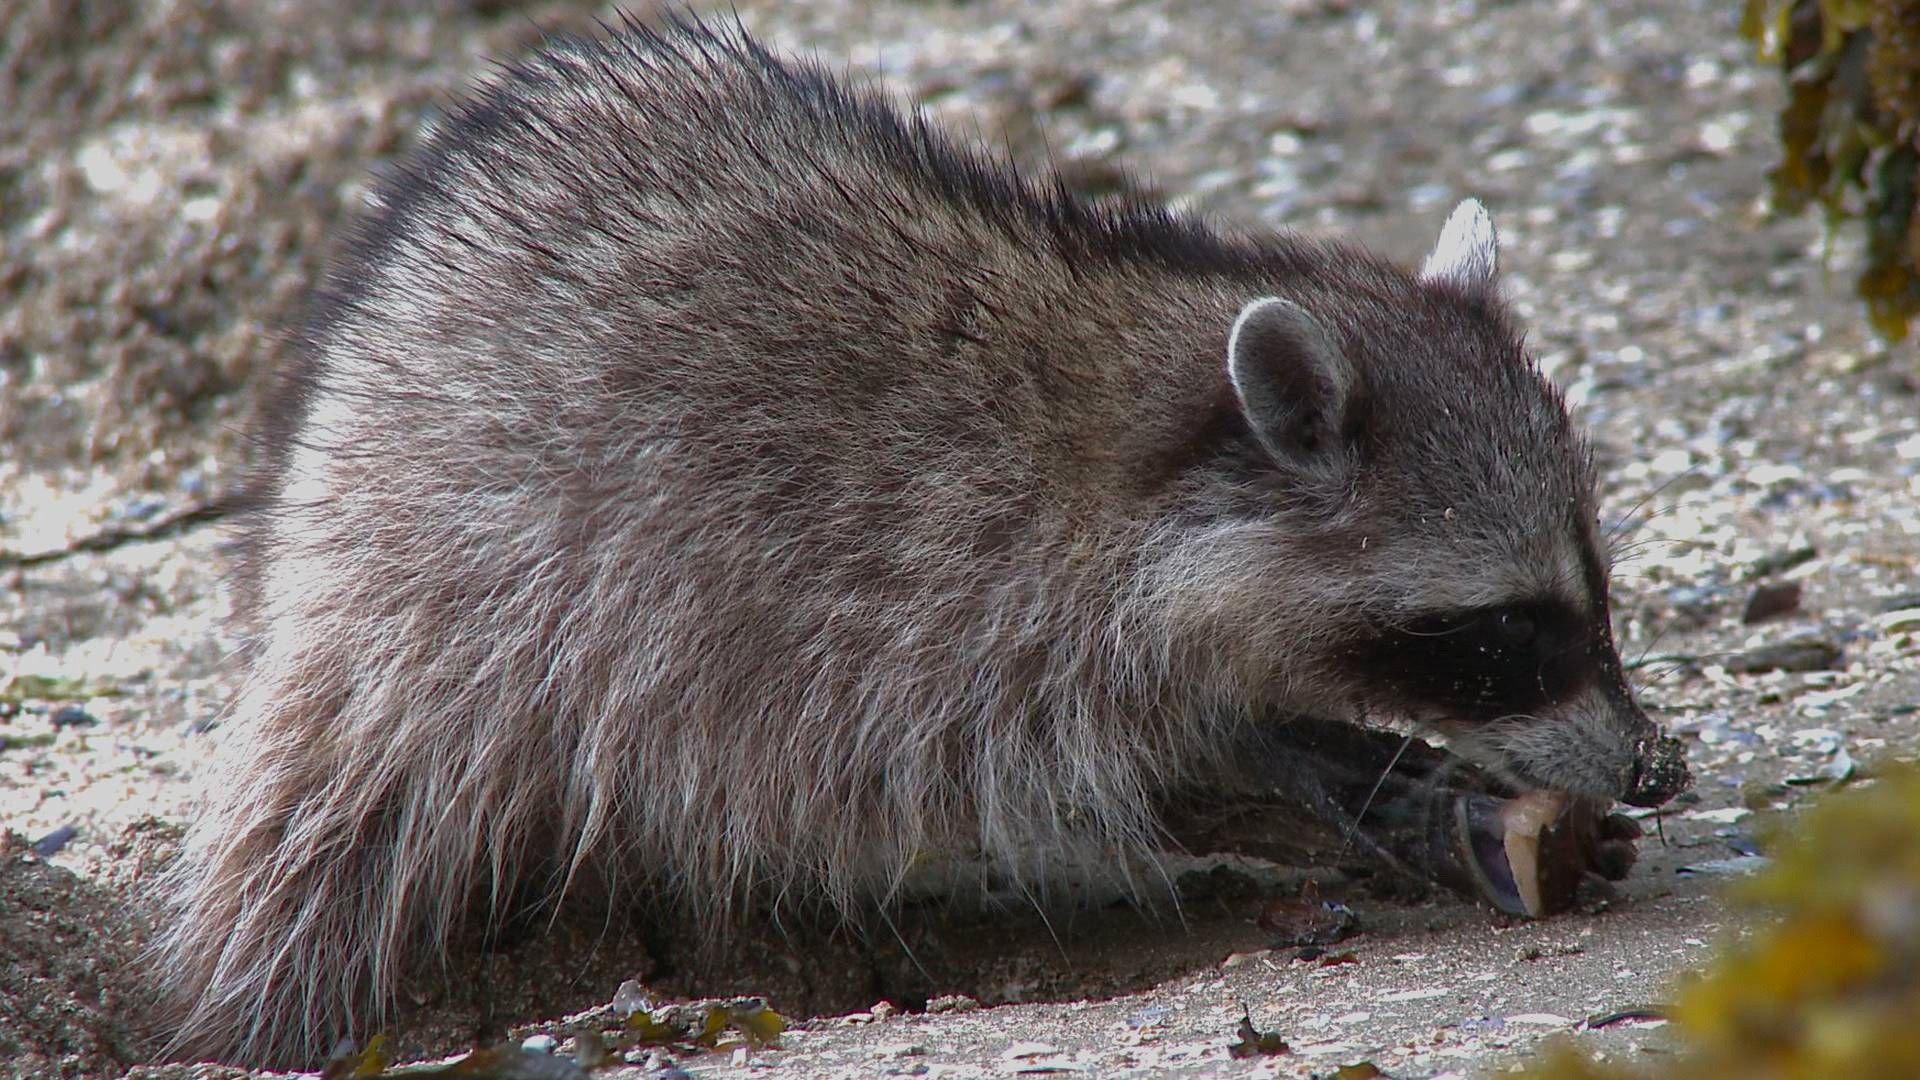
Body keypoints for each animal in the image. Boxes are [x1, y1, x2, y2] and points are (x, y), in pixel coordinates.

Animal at [151, 13, 1688, 1067]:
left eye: (1595, 595)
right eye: (1506, 633)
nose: (1651, 768)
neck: (1150, 447)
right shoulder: (891, 609)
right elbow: (1076, 762)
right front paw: (1297, 769)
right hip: (465, 605)